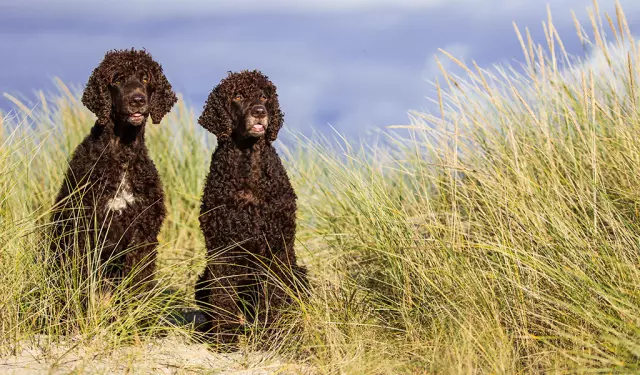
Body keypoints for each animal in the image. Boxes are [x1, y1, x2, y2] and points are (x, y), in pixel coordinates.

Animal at [50, 48, 178, 290]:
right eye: (117, 79)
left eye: (145, 78)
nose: (137, 100)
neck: (122, 154)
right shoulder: (84, 228)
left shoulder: (143, 231)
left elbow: (137, 280)